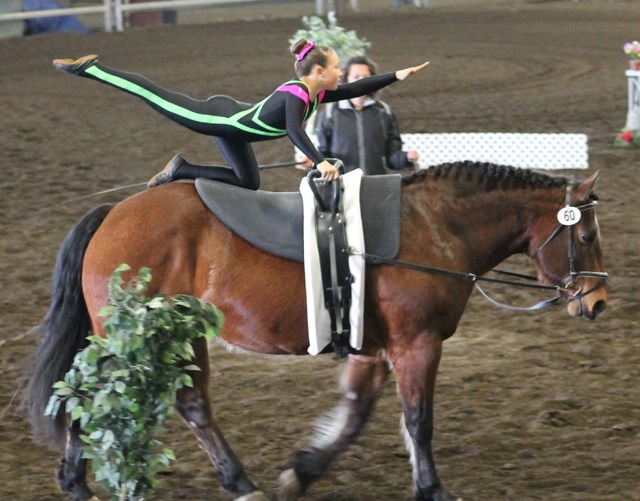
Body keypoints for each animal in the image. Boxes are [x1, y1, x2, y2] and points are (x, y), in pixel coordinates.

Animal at [26, 162, 604, 498]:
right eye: (587, 235)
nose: (596, 302)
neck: (432, 226)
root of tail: (111, 215)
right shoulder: (416, 344)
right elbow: (419, 421)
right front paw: (432, 489)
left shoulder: (375, 347)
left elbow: (355, 413)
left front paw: (302, 471)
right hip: (140, 338)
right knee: (95, 394)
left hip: (178, 334)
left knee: (185, 404)